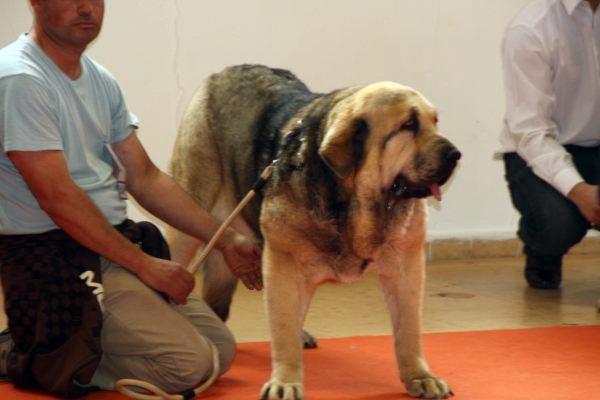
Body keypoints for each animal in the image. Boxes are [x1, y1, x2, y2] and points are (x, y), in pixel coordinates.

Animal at [166, 64, 462, 398]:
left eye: (434, 122)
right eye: (408, 125)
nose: (455, 154)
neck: (352, 204)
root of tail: (226, 70)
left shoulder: (406, 269)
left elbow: (409, 330)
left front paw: (420, 376)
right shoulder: (284, 265)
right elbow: (283, 331)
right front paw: (286, 381)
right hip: (188, 213)